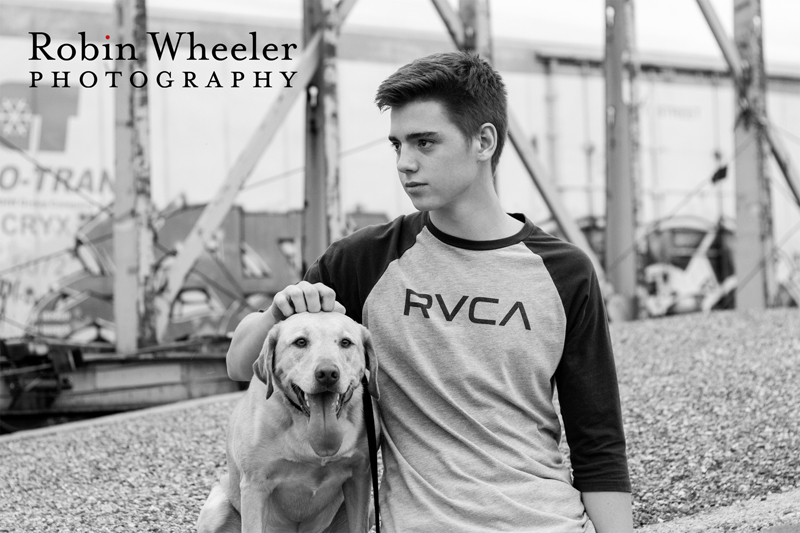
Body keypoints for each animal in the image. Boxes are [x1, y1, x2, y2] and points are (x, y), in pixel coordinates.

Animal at [196, 312, 378, 532]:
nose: (327, 374)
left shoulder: (359, 476)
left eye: (345, 342)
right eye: (300, 342)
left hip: (369, 509)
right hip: (217, 509)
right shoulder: (254, 486)